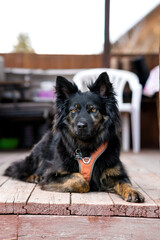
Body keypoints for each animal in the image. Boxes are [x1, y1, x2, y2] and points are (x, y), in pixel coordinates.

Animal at [4, 71, 145, 202]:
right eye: (74, 110)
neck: (87, 147)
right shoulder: (51, 175)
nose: (81, 126)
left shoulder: (117, 174)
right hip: (38, 156)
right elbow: (80, 179)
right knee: (17, 170)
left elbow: (125, 182)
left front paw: (133, 191)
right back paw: (34, 177)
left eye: (93, 109)